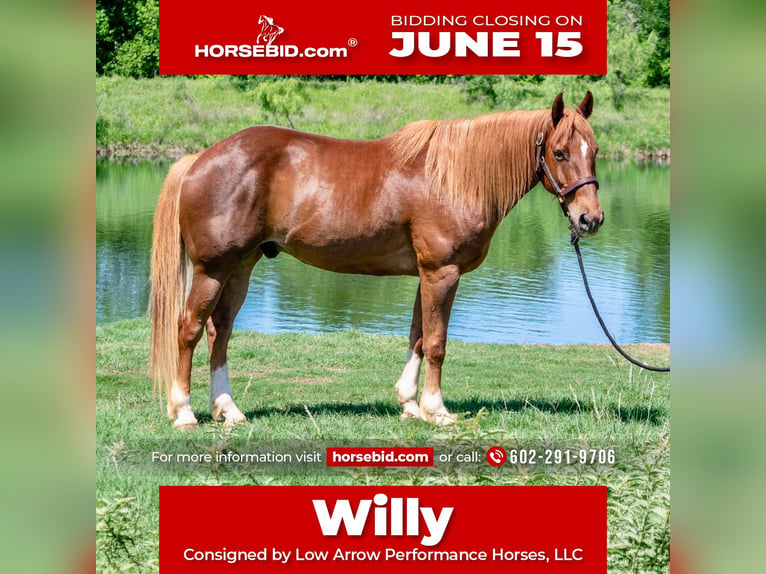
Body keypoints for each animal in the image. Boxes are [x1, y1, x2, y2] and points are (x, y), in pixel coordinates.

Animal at [150, 92, 603, 428]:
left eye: (594, 150)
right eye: (560, 153)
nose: (590, 219)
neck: (453, 178)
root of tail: (198, 159)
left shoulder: (426, 274)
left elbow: (417, 335)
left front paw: (410, 404)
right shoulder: (442, 272)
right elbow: (436, 342)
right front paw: (437, 410)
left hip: (240, 268)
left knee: (220, 331)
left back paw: (228, 410)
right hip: (212, 269)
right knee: (189, 329)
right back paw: (185, 412)